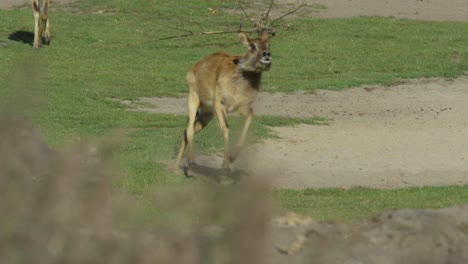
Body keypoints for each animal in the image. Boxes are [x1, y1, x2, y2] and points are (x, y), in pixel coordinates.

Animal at [174, 30, 272, 175]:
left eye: (268, 44)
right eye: (252, 45)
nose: (267, 54)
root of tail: (193, 68)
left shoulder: (243, 106)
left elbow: (250, 116)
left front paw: (231, 158)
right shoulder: (219, 104)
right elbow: (225, 128)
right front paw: (225, 165)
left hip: (206, 114)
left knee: (186, 130)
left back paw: (174, 168)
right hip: (193, 99)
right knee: (190, 129)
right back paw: (191, 162)